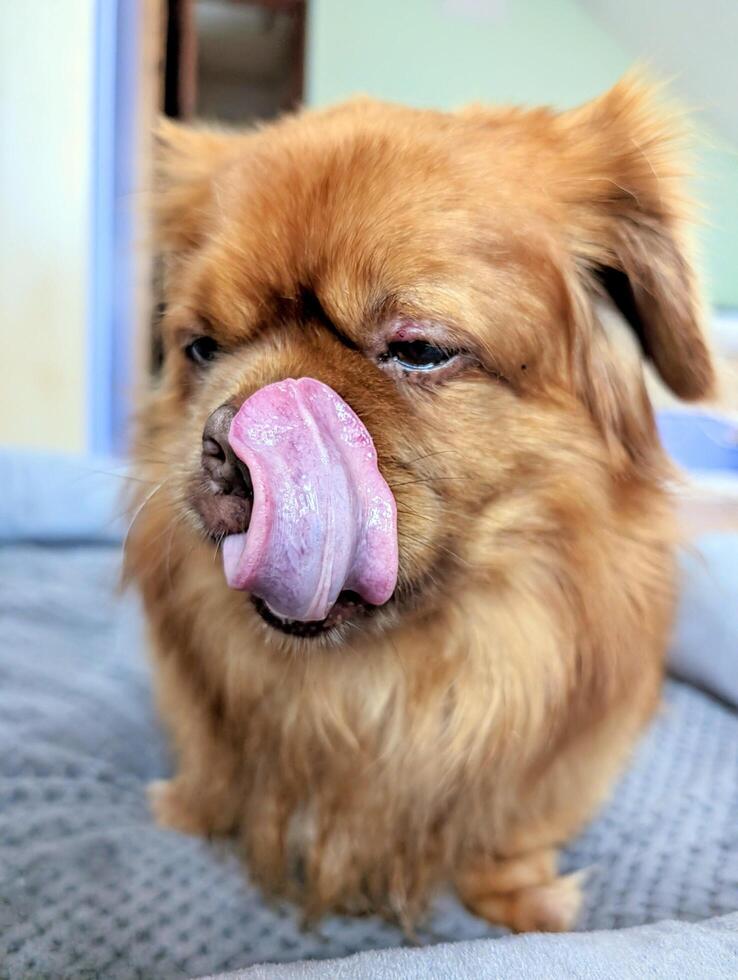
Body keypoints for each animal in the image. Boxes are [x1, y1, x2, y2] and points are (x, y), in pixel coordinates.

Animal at [126, 78, 712, 936]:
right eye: (201, 348)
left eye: (419, 350)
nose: (232, 442)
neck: (377, 687)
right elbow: (213, 765)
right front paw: (193, 810)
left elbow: (515, 824)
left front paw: (518, 896)